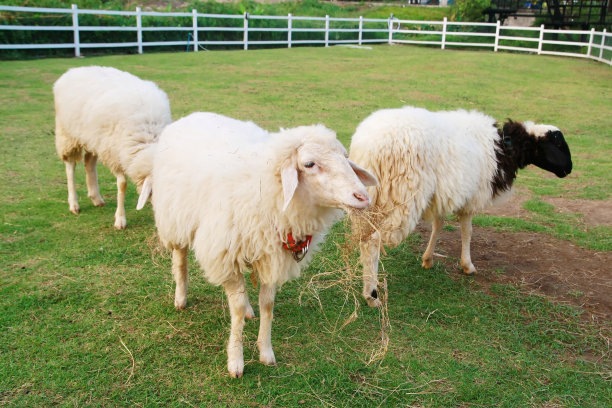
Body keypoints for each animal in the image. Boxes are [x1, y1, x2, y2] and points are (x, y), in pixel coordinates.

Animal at [53, 65, 172, 228]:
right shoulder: (116, 153)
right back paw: (74, 204)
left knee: (89, 162)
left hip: (94, 138)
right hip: (67, 133)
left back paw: (96, 198)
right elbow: (122, 185)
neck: (148, 134)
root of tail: (75, 69)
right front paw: (120, 220)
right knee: (70, 166)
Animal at [140, 112, 378, 380]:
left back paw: (247, 309)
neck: (267, 189)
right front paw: (235, 360)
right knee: (180, 259)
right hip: (174, 217)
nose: (363, 196)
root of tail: (193, 115)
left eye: (346, 157)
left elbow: (267, 305)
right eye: (309, 164)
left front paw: (265, 350)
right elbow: (234, 309)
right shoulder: (226, 255)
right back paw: (181, 298)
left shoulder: (272, 257)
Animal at [350, 105, 572, 306]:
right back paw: (371, 295)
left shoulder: (441, 196)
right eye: (558, 144)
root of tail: (369, 146)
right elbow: (468, 231)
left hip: (370, 197)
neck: (501, 149)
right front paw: (468, 265)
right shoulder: (471, 198)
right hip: (402, 196)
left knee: (363, 238)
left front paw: (428, 259)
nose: (569, 169)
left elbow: (437, 226)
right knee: (373, 241)